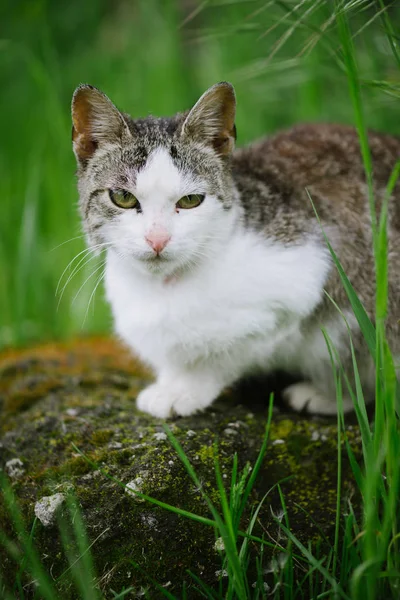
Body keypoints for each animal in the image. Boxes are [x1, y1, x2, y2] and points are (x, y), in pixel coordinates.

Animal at [71, 81, 400, 418]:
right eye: (123, 197)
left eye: (190, 200)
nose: (157, 239)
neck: (163, 286)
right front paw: (172, 381)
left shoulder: (307, 275)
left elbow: (222, 353)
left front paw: (183, 389)